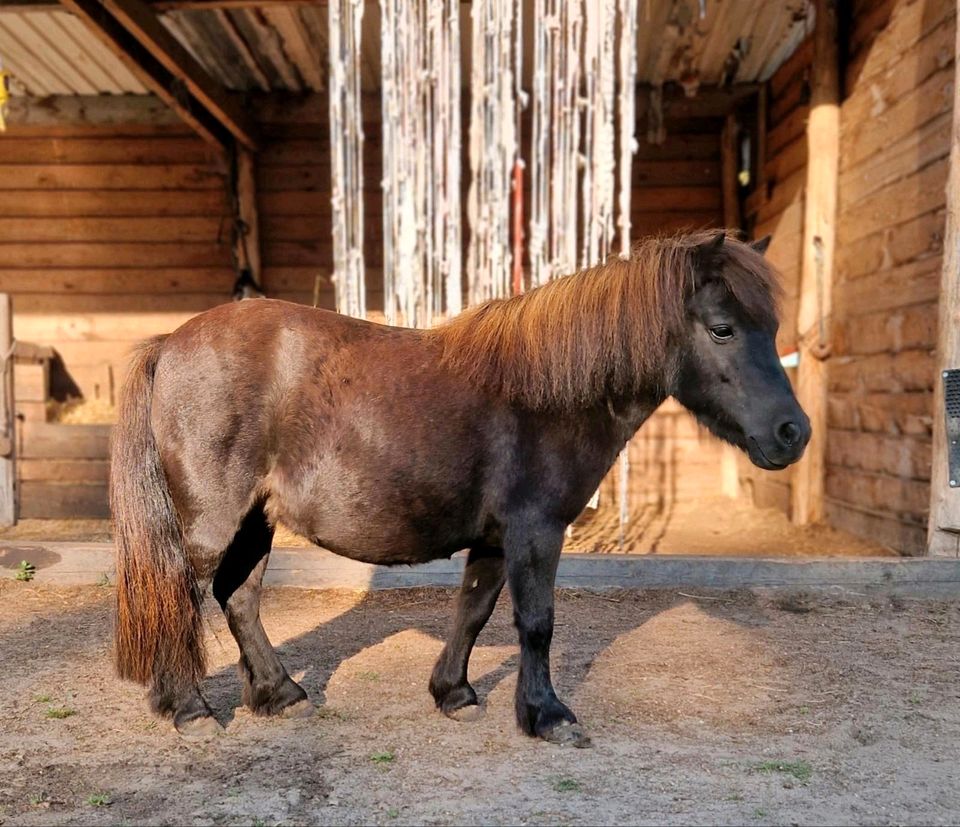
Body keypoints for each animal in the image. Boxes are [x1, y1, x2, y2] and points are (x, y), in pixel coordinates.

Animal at [109, 230, 808, 748]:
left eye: (772, 328)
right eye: (722, 327)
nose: (792, 432)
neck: (547, 394)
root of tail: (170, 343)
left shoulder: (497, 539)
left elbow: (472, 611)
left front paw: (455, 695)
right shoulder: (536, 530)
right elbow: (536, 622)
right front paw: (547, 715)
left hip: (255, 521)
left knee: (240, 599)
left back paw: (279, 695)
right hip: (212, 525)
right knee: (182, 595)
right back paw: (189, 707)